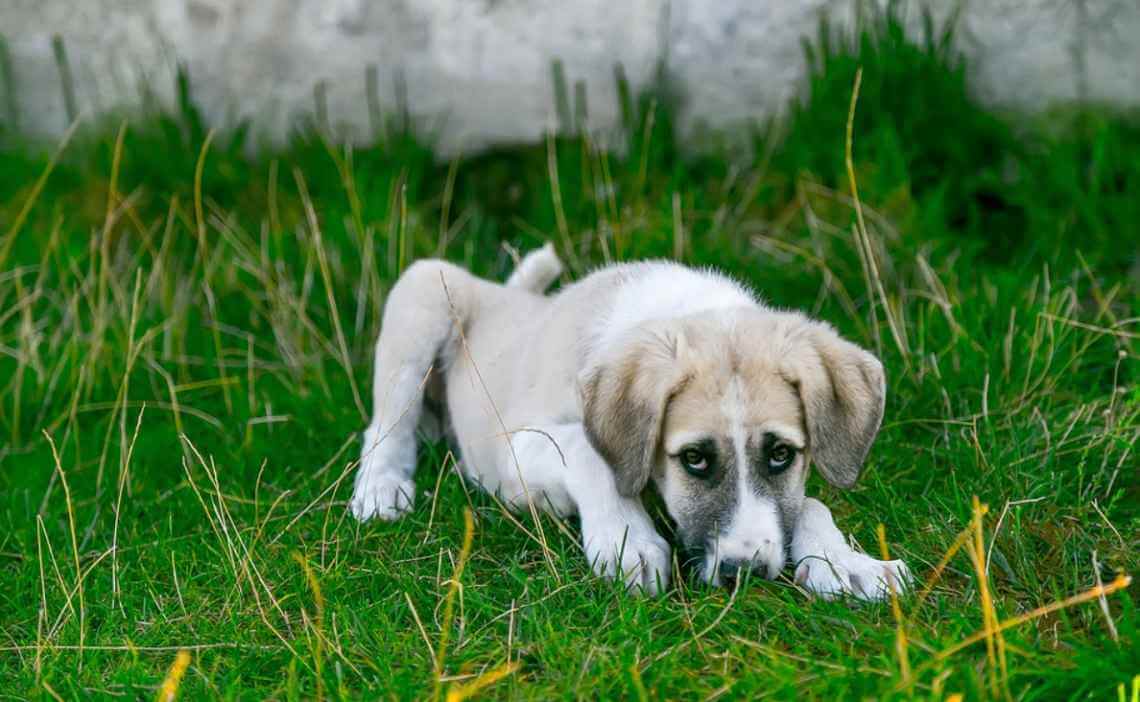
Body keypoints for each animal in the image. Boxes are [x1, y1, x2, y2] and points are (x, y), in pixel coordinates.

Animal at [346, 245, 907, 597]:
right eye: (694, 459)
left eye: (781, 454)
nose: (743, 572)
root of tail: (505, 293)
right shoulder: (517, 446)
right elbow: (589, 452)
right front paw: (626, 541)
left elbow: (808, 503)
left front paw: (846, 562)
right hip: (424, 291)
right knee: (386, 423)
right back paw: (381, 488)